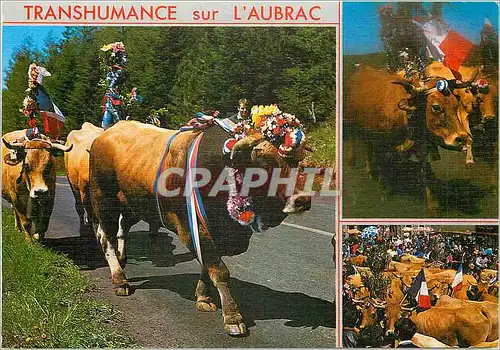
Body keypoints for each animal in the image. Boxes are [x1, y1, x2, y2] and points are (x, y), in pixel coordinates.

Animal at [88, 121, 310, 336]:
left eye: (299, 163)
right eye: (265, 164)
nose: (303, 199)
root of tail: (106, 133)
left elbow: (208, 266)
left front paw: (204, 297)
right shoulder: (188, 225)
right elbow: (219, 271)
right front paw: (232, 316)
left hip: (132, 204)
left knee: (121, 230)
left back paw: (122, 260)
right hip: (103, 199)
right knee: (105, 237)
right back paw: (120, 279)